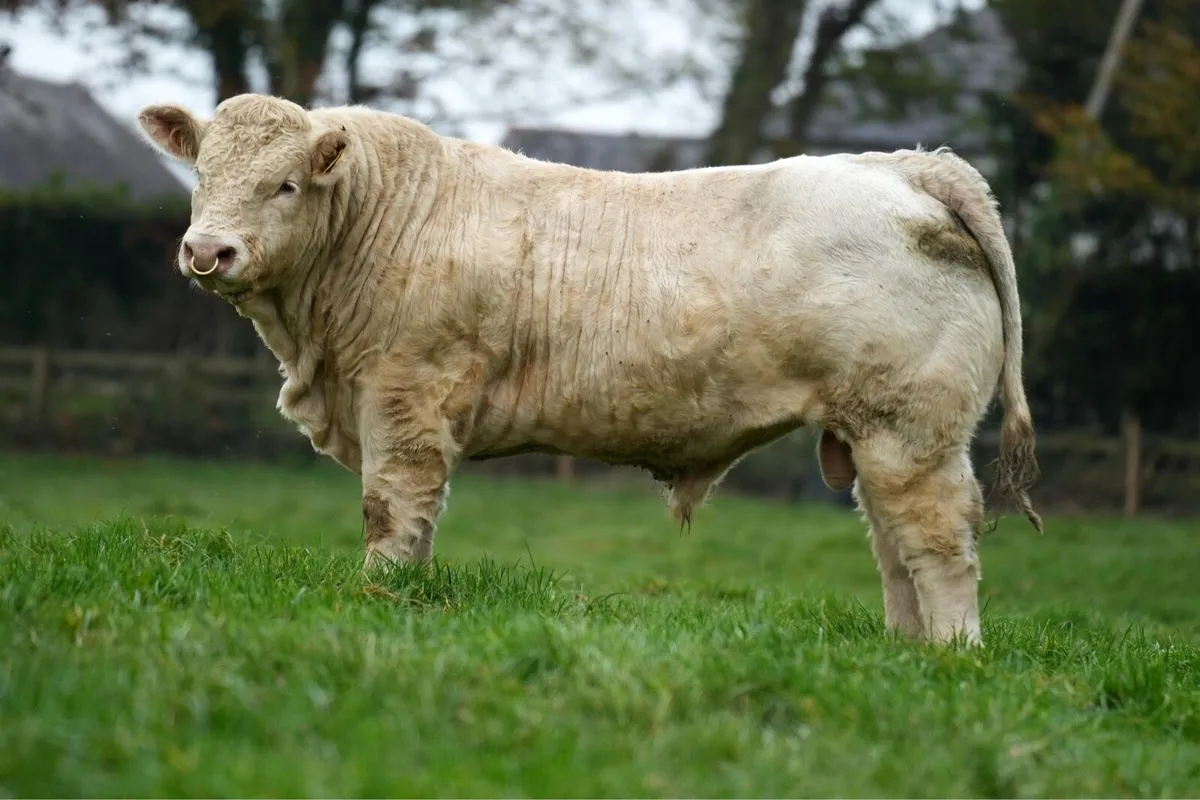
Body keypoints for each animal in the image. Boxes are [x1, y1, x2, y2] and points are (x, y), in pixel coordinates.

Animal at [135, 93, 1041, 646]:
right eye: (202, 176)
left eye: (285, 184)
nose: (207, 250)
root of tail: (905, 162)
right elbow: (421, 523)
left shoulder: (405, 397)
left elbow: (391, 512)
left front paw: (377, 598)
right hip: (871, 436)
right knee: (892, 545)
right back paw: (905, 649)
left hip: (911, 430)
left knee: (937, 541)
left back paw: (953, 654)